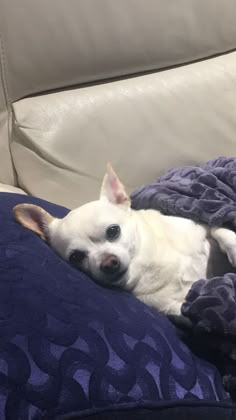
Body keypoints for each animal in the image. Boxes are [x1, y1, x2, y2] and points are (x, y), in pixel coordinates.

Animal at [13, 164, 236, 316]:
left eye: (113, 231)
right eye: (76, 257)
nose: (108, 263)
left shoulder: (202, 225)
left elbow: (219, 228)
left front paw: (233, 249)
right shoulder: (178, 306)